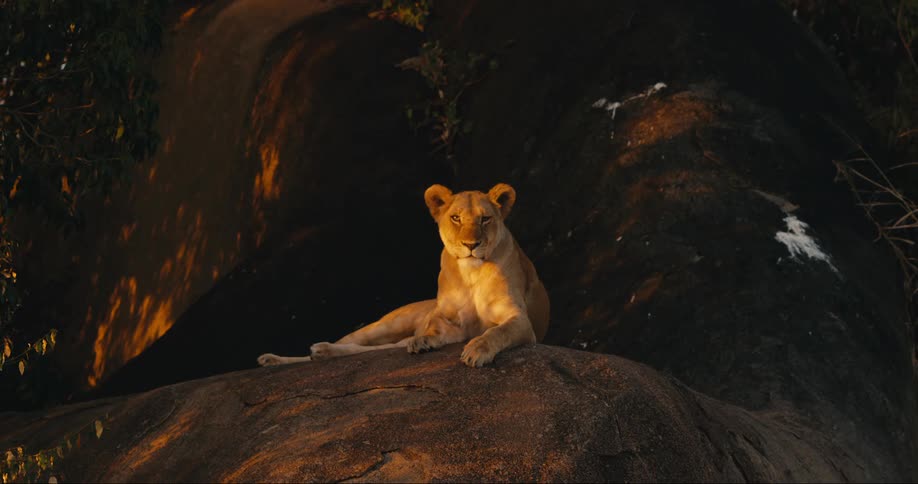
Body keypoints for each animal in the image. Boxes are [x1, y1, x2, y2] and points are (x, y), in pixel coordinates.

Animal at [257, 183, 549, 367]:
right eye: (455, 218)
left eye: (485, 219)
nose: (471, 245)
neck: (471, 275)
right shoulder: (448, 320)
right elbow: (434, 326)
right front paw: (425, 340)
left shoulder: (519, 320)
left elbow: (496, 332)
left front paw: (477, 350)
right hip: (385, 325)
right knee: (354, 343)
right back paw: (280, 358)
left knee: (366, 351)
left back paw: (320, 353)